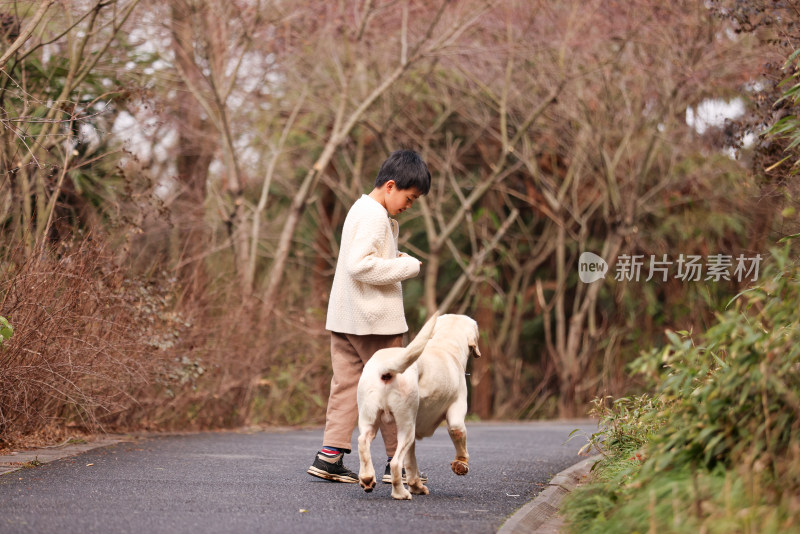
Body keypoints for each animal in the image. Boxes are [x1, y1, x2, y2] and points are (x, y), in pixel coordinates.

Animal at [356, 314, 482, 502]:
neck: (446, 345)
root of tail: (385, 368)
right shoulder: (456, 417)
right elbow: (459, 437)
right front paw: (461, 464)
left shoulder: (414, 436)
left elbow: (411, 463)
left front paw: (416, 486)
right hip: (406, 426)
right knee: (395, 463)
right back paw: (400, 494)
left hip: (372, 421)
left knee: (363, 442)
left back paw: (367, 479)